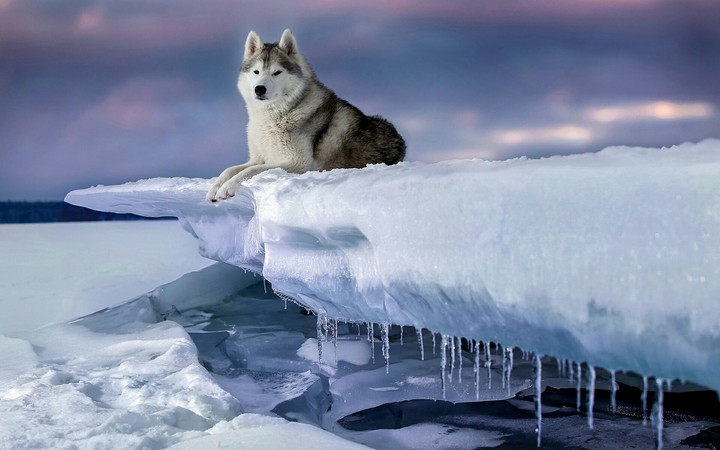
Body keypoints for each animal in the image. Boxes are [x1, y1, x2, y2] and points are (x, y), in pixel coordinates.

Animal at [206, 28, 406, 202]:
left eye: (277, 72)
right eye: (256, 72)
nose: (259, 89)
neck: (275, 115)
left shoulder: (297, 163)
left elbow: (249, 171)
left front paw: (227, 188)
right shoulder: (258, 158)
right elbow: (229, 170)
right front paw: (214, 189)